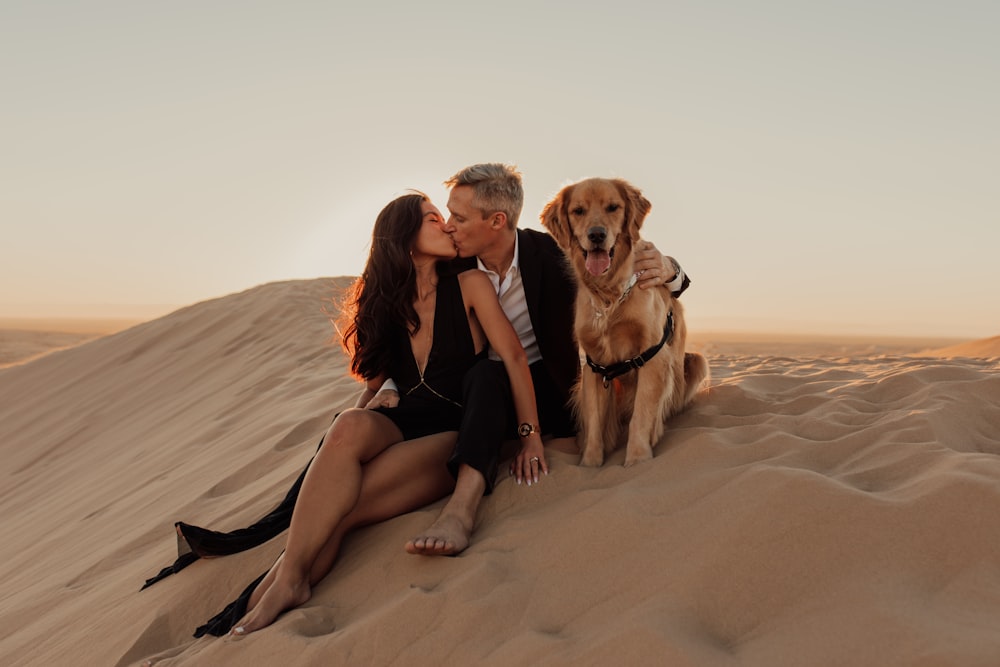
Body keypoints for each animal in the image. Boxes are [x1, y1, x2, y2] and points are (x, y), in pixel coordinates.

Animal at [540, 180, 712, 468]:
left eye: (613, 207)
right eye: (578, 211)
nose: (597, 235)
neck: (610, 297)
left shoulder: (652, 357)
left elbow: (640, 417)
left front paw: (638, 459)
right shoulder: (594, 365)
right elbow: (596, 423)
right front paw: (590, 464)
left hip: (696, 361)